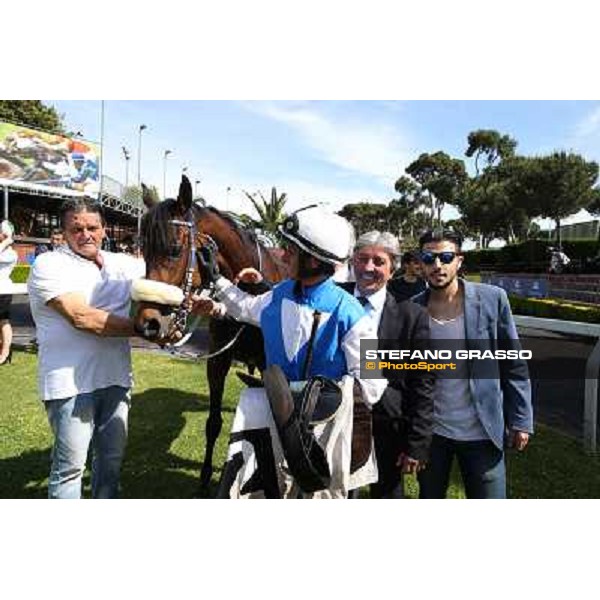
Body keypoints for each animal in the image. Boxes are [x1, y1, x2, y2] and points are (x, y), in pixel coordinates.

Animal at [136, 176, 286, 490]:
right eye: (143, 248)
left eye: (174, 249)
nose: (148, 323)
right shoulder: (218, 359)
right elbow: (213, 423)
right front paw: (205, 479)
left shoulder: (271, 365)